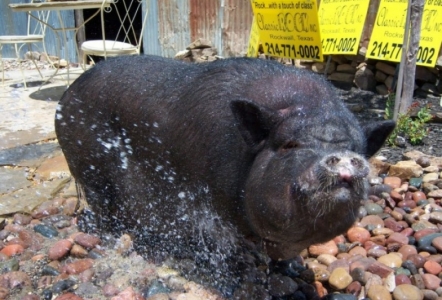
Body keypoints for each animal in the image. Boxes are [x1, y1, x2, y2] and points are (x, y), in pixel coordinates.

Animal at [55, 54, 394, 268]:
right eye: (290, 144)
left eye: (356, 148)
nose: (347, 158)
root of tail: (66, 96)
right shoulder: (208, 201)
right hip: (87, 165)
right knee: (103, 205)